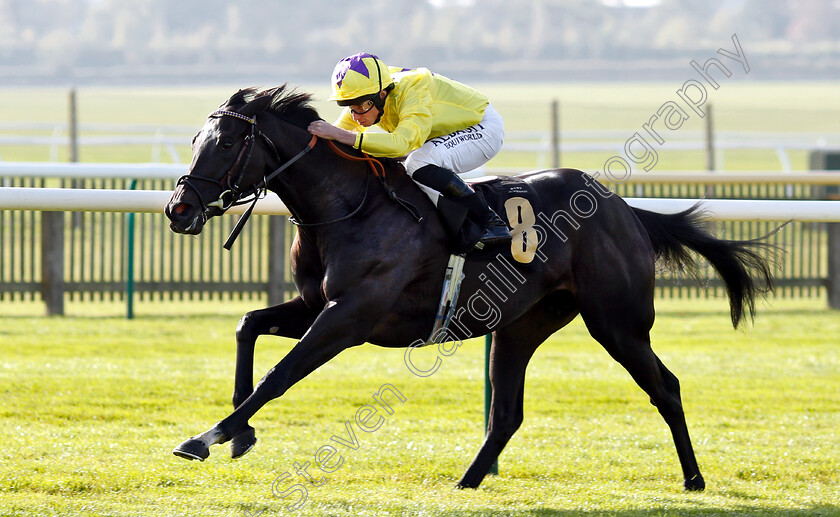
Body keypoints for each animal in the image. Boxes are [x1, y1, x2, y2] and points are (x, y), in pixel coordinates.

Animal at [164, 84, 776, 488]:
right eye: (194, 139)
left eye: (223, 145)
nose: (178, 210)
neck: (346, 206)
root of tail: (624, 209)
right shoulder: (317, 305)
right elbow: (248, 326)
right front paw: (240, 434)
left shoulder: (350, 317)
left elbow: (280, 375)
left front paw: (206, 438)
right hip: (522, 325)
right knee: (507, 412)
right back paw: (467, 482)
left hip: (618, 324)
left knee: (665, 387)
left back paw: (694, 479)